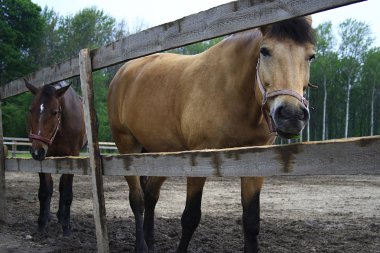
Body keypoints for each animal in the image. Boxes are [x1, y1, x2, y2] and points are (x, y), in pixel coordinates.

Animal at [25, 80, 86, 235]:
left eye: (54, 112)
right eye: (31, 110)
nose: (36, 151)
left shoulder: (72, 156)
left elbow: (66, 192)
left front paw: (66, 225)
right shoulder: (45, 157)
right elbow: (45, 191)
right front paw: (41, 222)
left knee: (62, 186)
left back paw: (61, 216)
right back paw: (49, 216)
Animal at [106, 16, 314, 252]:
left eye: (311, 56)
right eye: (265, 51)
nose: (291, 115)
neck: (231, 90)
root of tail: (124, 72)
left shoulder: (256, 161)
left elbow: (251, 221)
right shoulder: (199, 156)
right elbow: (190, 217)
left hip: (160, 153)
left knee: (150, 196)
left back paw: (150, 243)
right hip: (127, 147)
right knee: (137, 200)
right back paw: (141, 245)